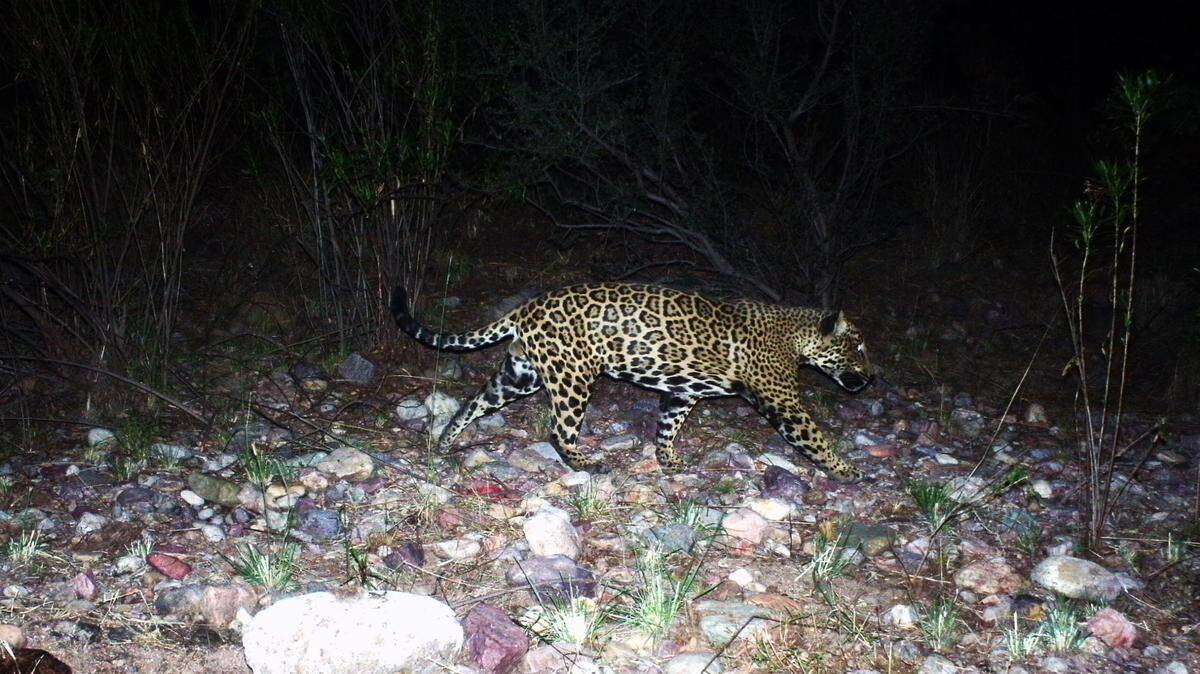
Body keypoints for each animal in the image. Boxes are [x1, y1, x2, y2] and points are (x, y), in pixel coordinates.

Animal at [391, 282, 874, 481]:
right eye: (859, 347)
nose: (872, 378)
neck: (796, 335)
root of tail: (527, 307)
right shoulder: (783, 401)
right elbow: (816, 438)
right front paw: (848, 471)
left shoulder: (681, 392)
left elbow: (667, 428)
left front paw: (668, 460)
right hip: (572, 377)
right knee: (558, 430)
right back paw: (584, 463)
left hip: (521, 376)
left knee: (473, 402)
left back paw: (447, 441)